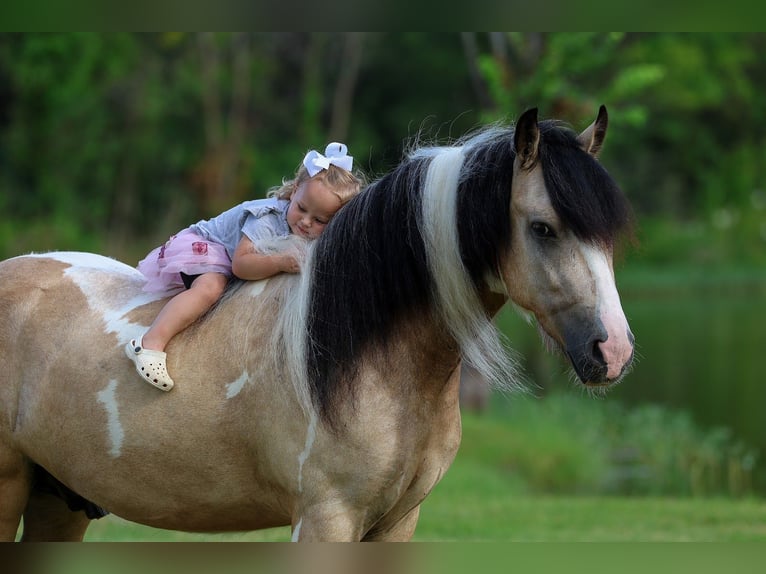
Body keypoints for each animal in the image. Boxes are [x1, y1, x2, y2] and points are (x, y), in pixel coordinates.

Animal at [0, 106, 633, 541]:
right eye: (543, 228)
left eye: (608, 234)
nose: (614, 352)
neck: (369, 355)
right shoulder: (326, 518)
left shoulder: (396, 524)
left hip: (60, 498)